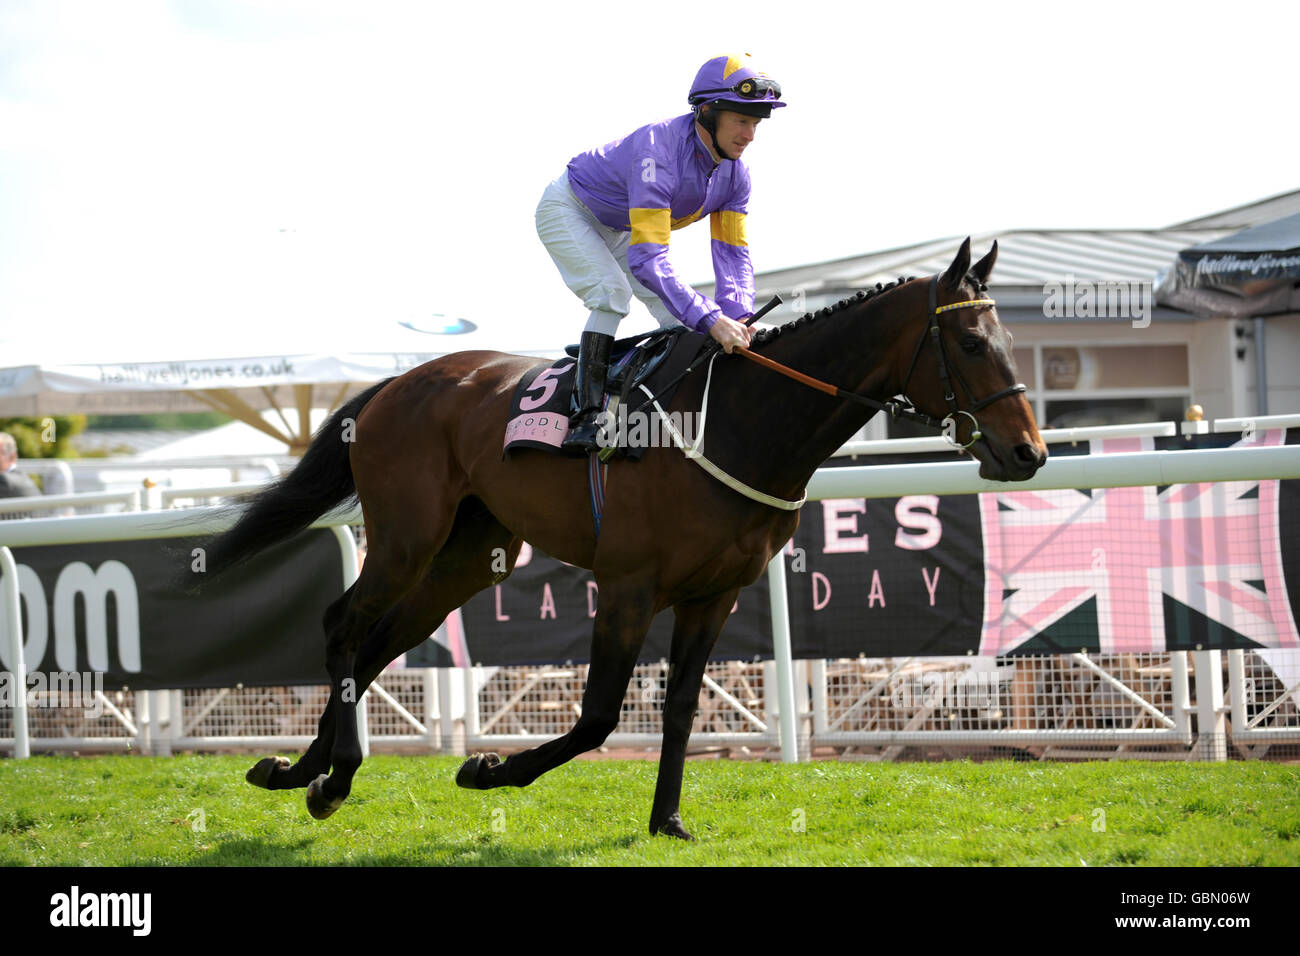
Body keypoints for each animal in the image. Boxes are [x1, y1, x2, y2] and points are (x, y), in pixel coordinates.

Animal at [200, 238, 1045, 837]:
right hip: (407, 535)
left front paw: (667, 820)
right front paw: (487, 769)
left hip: (468, 557)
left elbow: (679, 709)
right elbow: (600, 716)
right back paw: (335, 773)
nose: (1027, 453)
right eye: (973, 345)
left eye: (1007, 338)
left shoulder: (716, 593)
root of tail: (395, 385)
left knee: (377, 641)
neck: (740, 422)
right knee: (344, 624)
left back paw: (299, 771)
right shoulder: (630, 585)